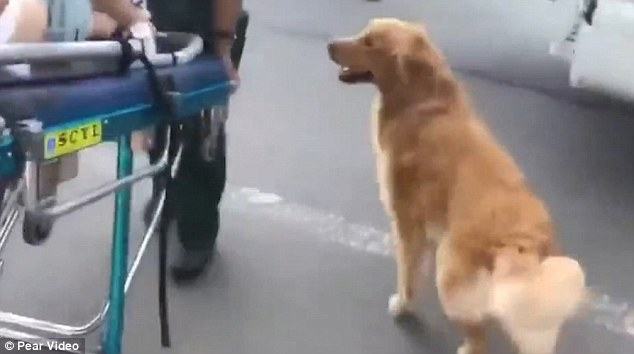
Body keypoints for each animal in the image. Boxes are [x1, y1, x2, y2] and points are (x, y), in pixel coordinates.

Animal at [328, 19, 584, 354]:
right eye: (363, 33)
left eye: (370, 43)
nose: (329, 45)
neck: (422, 100)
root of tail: (525, 242)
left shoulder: (407, 224)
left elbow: (408, 274)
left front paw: (403, 305)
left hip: (448, 272)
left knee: (478, 339)